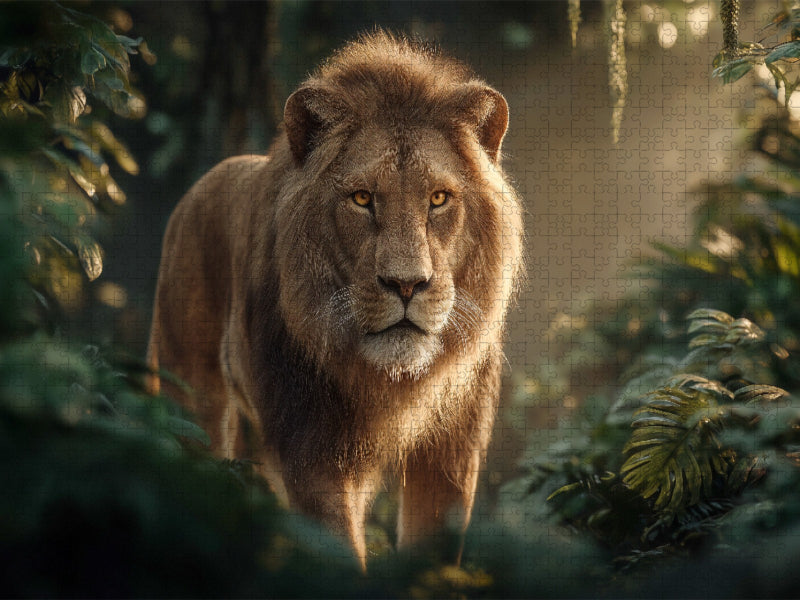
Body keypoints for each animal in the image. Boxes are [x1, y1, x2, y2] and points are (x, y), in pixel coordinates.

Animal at [147, 31, 523, 569]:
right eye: (362, 199)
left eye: (438, 199)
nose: (406, 285)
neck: (386, 380)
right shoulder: (313, 451)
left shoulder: (451, 455)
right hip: (193, 399)